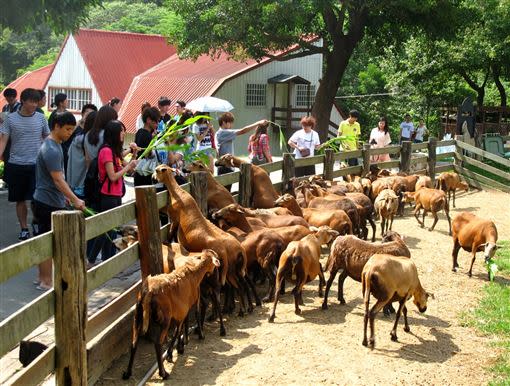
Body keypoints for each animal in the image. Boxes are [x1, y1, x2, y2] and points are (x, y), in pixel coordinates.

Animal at [124, 250, 220, 380]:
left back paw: (127, 373)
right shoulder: (190, 304)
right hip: (165, 317)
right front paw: (198, 337)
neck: (195, 274)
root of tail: (149, 292)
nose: (213, 272)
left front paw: (180, 347)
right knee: (158, 343)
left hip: (137, 315)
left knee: (133, 343)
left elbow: (180, 329)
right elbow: (188, 321)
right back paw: (163, 373)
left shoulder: (181, 311)